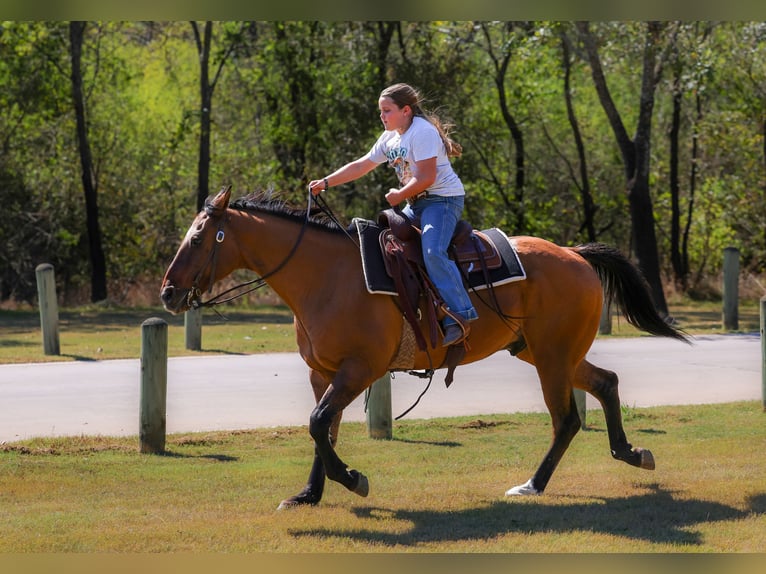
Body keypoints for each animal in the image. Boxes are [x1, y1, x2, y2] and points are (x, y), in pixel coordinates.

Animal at [160, 185, 689, 509]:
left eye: (201, 237)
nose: (167, 292)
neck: (327, 277)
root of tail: (574, 254)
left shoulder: (359, 370)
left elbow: (318, 424)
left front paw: (352, 479)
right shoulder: (322, 372)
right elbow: (323, 430)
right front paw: (309, 494)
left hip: (553, 357)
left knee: (568, 419)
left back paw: (534, 484)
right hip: (542, 351)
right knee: (606, 382)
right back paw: (630, 451)